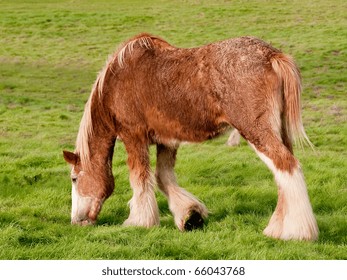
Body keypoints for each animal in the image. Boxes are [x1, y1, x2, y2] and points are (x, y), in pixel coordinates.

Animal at [63, 33, 320, 241]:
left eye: (74, 179)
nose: (76, 221)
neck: (116, 79)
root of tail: (272, 55)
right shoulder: (167, 140)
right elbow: (162, 177)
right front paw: (190, 216)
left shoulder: (133, 137)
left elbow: (140, 179)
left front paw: (139, 221)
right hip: (279, 132)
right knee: (283, 177)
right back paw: (278, 228)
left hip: (256, 132)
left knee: (286, 166)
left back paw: (296, 233)